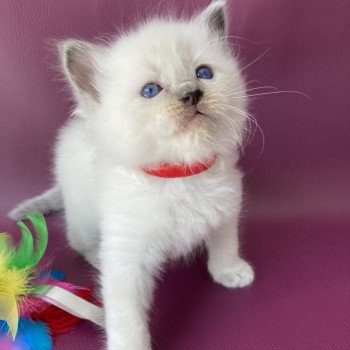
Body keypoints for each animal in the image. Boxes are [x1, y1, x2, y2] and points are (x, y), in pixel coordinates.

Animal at [8, 1, 254, 348]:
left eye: (204, 73)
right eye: (150, 91)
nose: (192, 93)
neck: (180, 175)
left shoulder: (227, 207)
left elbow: (225, 243)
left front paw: (229, 272)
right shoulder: (127, 259)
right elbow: (126, 317)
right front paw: (130, 345)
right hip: (83, 217)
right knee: (77, 239)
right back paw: (96, 257)